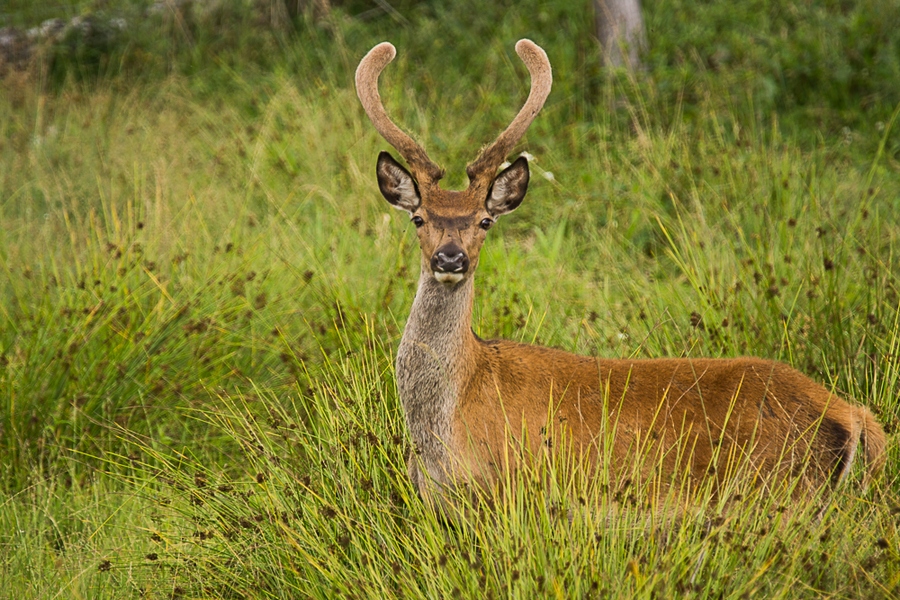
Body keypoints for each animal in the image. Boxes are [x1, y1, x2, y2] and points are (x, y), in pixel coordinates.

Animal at [354, 39, 884, 512]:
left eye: (485, 221)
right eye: (418, 218)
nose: (450, 259)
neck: (448, 422)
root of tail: (854, 416)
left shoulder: (513, 494)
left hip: (778, 493)